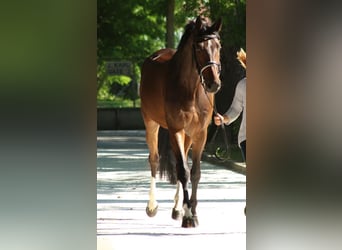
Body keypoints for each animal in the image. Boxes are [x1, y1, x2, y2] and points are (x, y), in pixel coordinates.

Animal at [140, 15, 223, 227]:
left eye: (218, 46)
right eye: (199, 47)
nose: (214, 84)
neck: (190, 89)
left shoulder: (200, 133)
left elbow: (194, 172)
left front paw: (191, 211)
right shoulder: (175, 129)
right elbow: (183, 170)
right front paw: (188, 216)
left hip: (188, 134)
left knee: (183, 158)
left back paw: (177, 208)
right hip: (151, 122)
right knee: (154, 159)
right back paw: (152, 206)